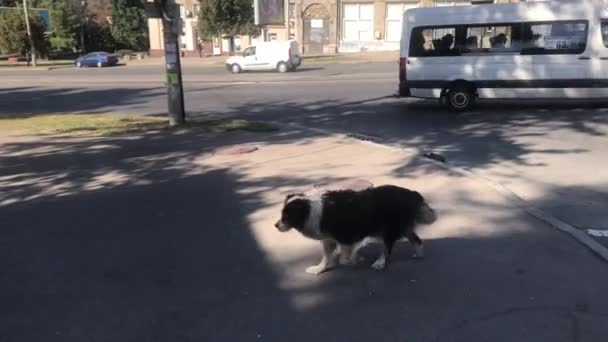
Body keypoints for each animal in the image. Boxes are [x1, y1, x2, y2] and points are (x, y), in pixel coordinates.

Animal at [276, 186, 436, 274]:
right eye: (282, 214)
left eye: (286, 216)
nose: (276, 225)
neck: (310, 209)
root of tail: (412, 193)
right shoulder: (328, 239)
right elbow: (326, 256)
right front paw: (320, 269)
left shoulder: (346, 236)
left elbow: (343, 258)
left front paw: (354, 259)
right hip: (402, 227)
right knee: (417, 240)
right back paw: (418, 254)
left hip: (389, 229)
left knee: (387, 248)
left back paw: (380, 263)